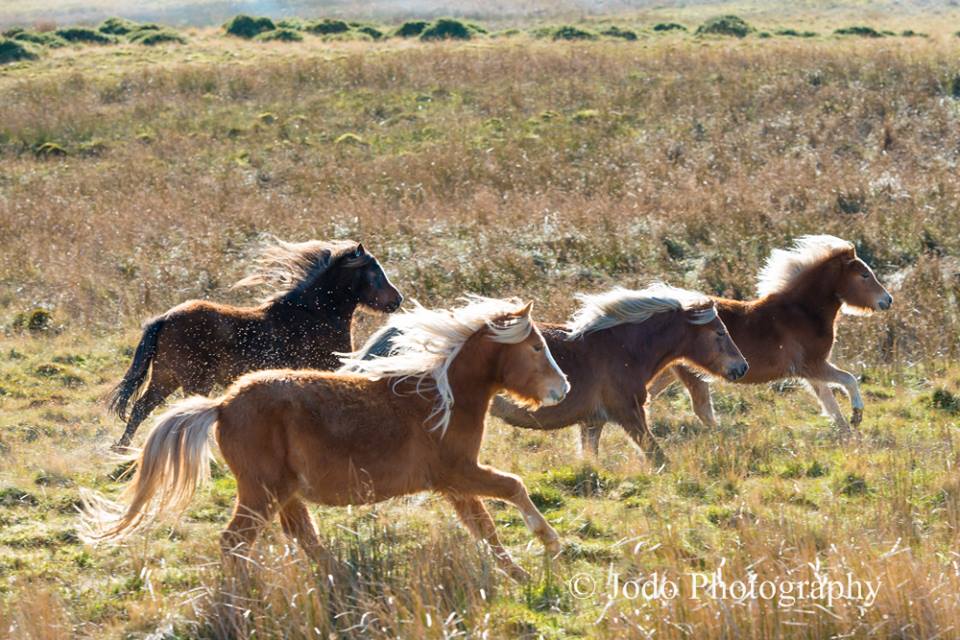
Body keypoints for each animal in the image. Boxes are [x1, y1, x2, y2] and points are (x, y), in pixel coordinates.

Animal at [82, 297, 570, 581]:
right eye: (535, 347)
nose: (561, 388)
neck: (440, 398)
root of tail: (221, 405)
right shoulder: (460, 473)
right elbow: (513, 488)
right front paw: (551, 544)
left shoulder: (454, 485)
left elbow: (485, 528)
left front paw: (519, 573)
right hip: (261, 492)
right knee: (235, 542)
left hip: (283, 492)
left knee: (304, 538)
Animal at [109, 238, 404, 448]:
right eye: (375, 273)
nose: (397, 299)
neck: (314, 313)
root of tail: (165, 318)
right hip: (193, 381)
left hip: (165, 377)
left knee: (140, 409)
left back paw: (123, 451)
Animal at [579, 235, 894, 456]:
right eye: (864, 275)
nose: (887, 300)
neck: (802, 312)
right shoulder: (812, 365)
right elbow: (848, 380)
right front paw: (857, 416)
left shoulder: (811, 372)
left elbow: (829, 402)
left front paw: (849, 434)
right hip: (692, 374)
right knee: (701, 411)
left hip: (669, 371)